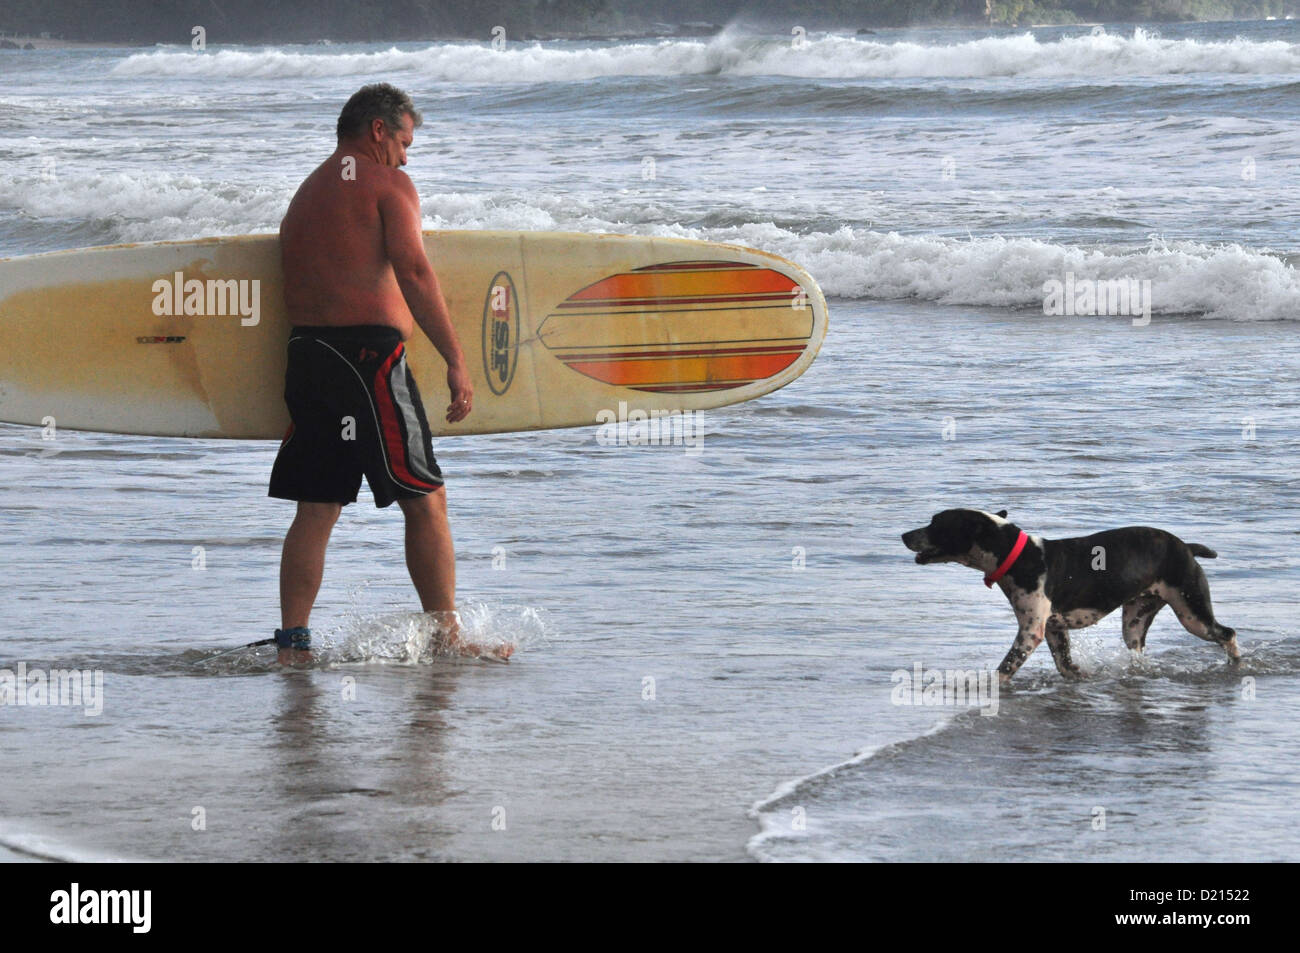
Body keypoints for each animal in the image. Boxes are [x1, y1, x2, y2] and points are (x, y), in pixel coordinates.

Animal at [899, 509, 1232, 681]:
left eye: (936, 524)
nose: (903, 535)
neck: (1018, 556)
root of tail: (1187, 547)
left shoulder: (1030, 631)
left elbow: (1005, 669)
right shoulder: (1054, 629)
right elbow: (1065, 664)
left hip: (1192, 613)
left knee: (1227, 634)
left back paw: (1238, 664)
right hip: (1135, 621)